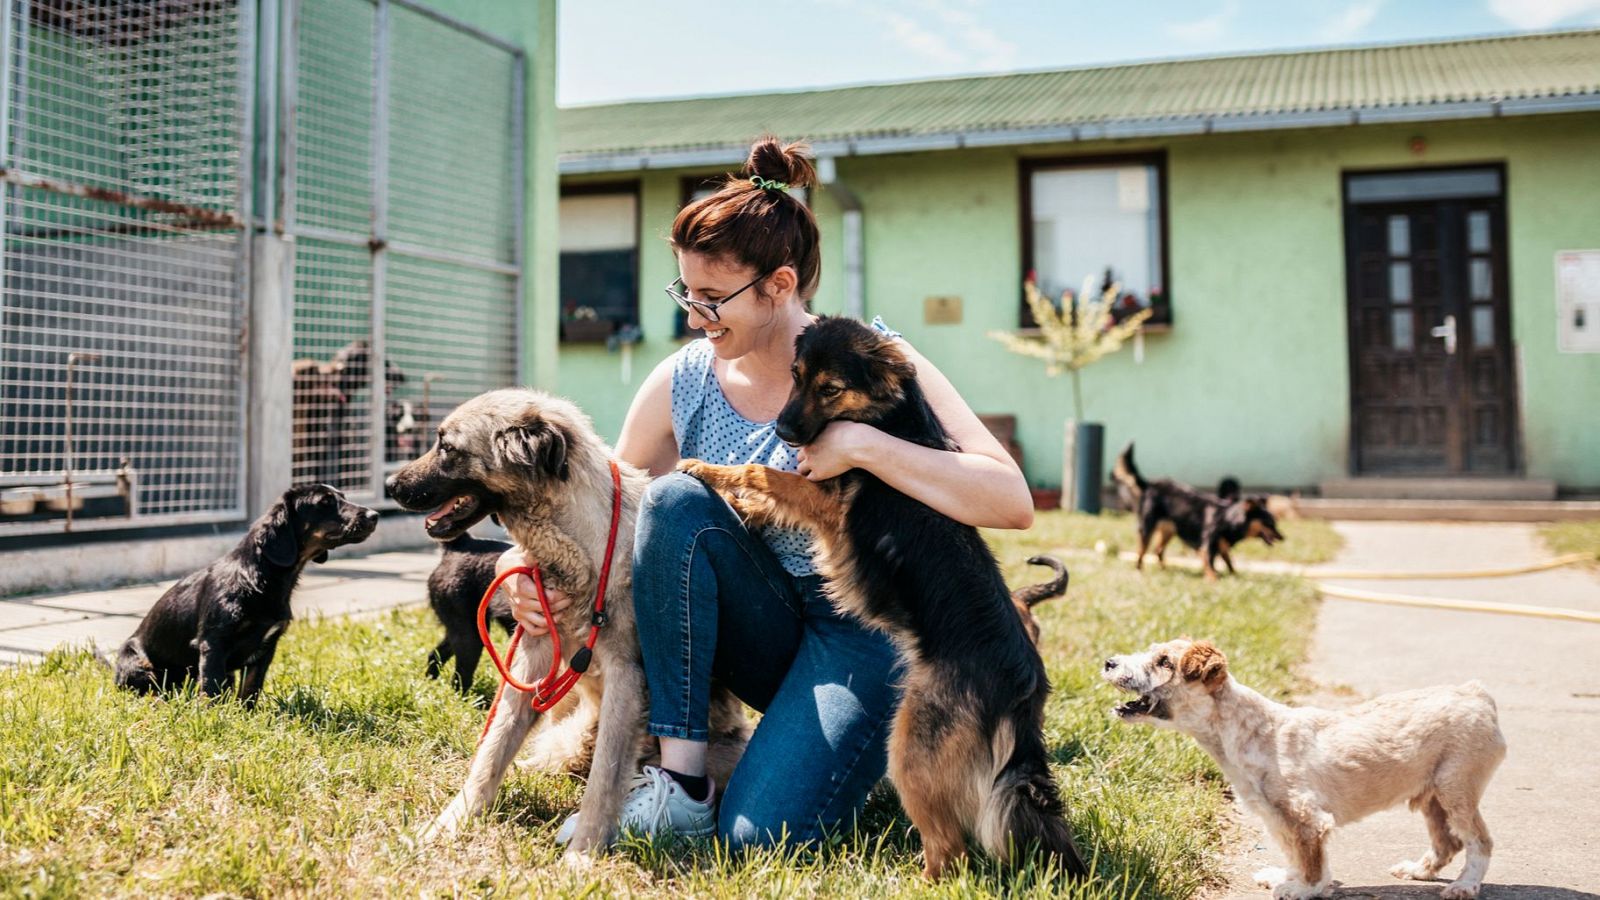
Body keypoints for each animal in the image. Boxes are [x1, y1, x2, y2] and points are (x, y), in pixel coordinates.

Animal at [112, 483, 377, 701]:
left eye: (342, 496)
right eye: (324, 502)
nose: (375, 515)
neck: (261, 579)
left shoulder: (266, 648)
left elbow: (250, 689)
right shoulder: (213, 643)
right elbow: (211, 689)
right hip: (137, 662)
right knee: (150, 690)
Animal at [675, 315, 1088, 877]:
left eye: (830, 389)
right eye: (795, 376)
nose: (783, 431)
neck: (886, 417)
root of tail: (1023, 686)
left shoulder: (828, 498)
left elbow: (763, 473)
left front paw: (708, 471)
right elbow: (771, 492)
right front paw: (745, 508)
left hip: (910, 747)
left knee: (951, 851)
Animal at [1107, 637, 1504, 896]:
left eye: (1164, 662)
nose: (1109, 662)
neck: (1249, 731)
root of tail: (1477, 694)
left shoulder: (1307, 818)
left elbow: (1312, 862)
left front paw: (1304, 889)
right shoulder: (1277, 817)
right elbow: (1292, 853)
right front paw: (1288, 876)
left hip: (1456, 789)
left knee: (1479, 841)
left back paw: (1465, 885)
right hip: (1432, 796)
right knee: (1448, 842)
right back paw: (1418, 871)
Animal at [1113, 441, 1286, 582]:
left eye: (1275, 523)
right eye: (1269, 523)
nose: (1283, 537)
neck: (1227, 520)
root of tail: (1149, 484)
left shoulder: (1221, 546)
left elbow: (1229, 563)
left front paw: (1234, 576)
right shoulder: (1206, 547)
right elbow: (1210, 565)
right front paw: (1214, 580)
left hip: (1169, 530)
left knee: (1158, 550)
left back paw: (1164, 570)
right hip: (1147, 528)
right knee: (1141, 552)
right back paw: (1139, 570)